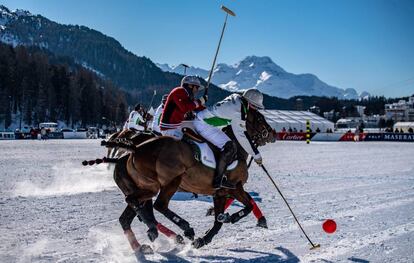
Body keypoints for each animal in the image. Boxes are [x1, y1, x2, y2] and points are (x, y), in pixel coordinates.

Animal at [109, 108, 274, 254]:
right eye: (260, 118)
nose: (272, 133)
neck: (238, 149)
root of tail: (135, 149)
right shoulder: (235, 187)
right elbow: (248, 205)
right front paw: (231, 217)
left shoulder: (220, 193)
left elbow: (218, 222)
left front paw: (203, 239)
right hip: (171, 181)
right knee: (159, 205)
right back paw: (182, 229)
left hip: (147, 188)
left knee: (129, 211)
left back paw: (145, 241)